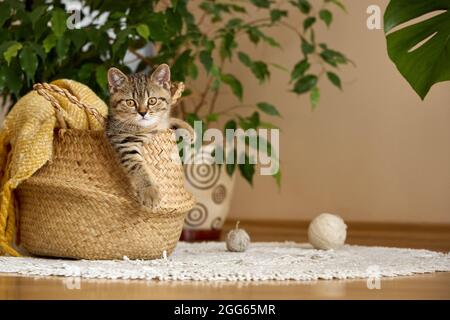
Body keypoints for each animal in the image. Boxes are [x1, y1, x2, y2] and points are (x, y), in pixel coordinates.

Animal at [106, 65, 173, 210]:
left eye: (152, 101)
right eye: (130, 102)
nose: (143, 113)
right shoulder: (124, 142)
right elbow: (137, 165)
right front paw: (149, 191)